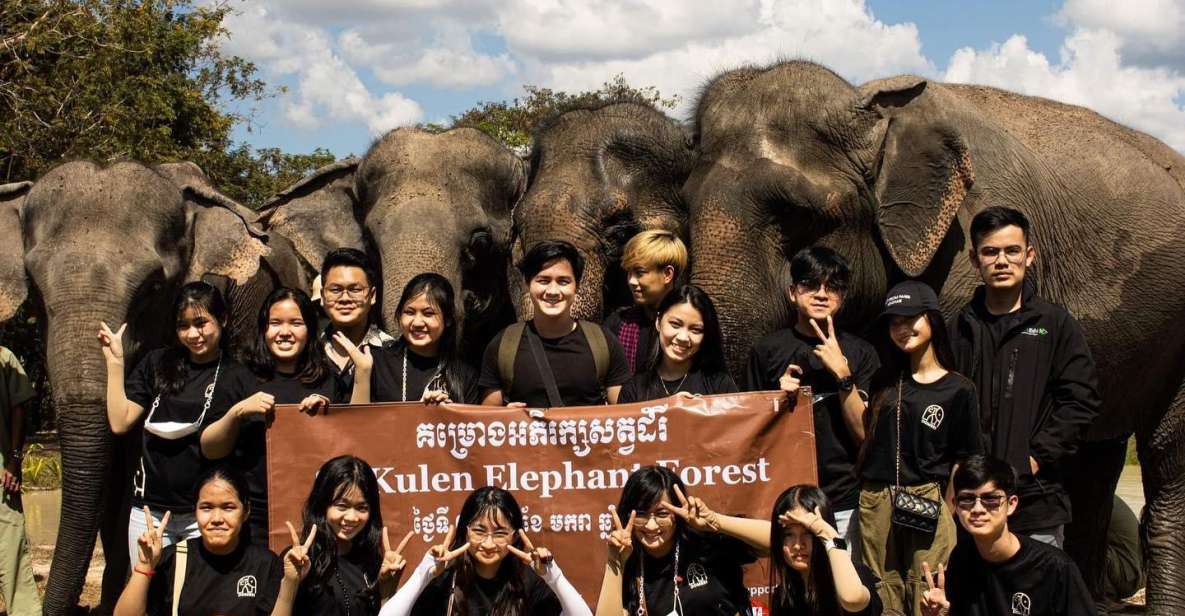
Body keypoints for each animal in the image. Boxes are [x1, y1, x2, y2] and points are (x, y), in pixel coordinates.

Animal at [682, 60, 1185, 611]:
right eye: (684, 208)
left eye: (800, 215)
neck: (875, 112)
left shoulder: (961, 264)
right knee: (1098, 455)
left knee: (1166, 458)